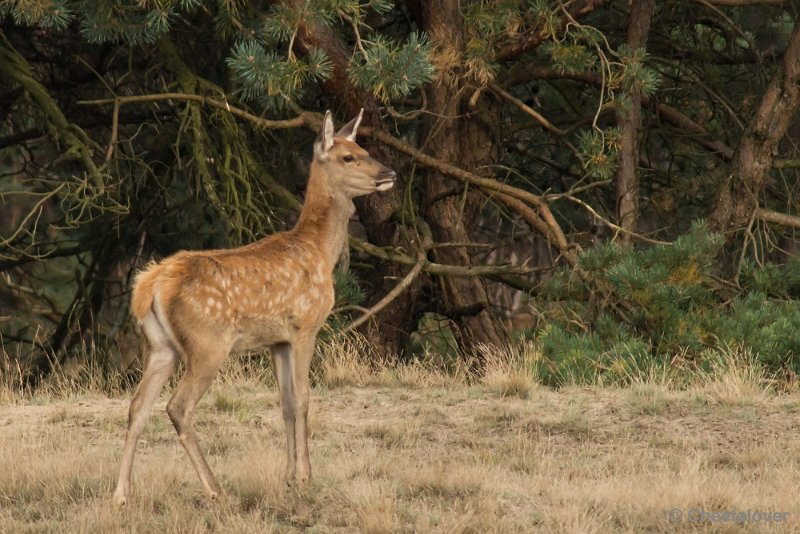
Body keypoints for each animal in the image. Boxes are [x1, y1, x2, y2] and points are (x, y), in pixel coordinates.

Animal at [113, 110, 396, 506]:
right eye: (348, 157)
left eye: (364, 149)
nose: (390, 173)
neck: (319, 251)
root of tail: (150, 285)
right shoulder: (305, 325)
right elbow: (304, 397)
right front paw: (306, 476)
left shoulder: (276, 340)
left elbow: (286, 403)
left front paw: (289, 477)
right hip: (206, 343)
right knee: (178, 406)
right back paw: (215, 489)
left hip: (158, 346)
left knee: (137, 407)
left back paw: (121, 494)